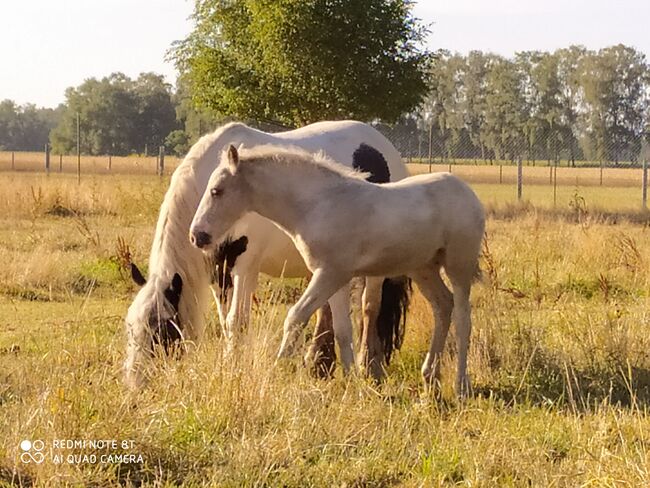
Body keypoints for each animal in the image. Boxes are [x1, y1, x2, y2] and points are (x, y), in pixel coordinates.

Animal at [123, 121, 410, 388]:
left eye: (160, 330)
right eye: (131, 329)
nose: (134, 383)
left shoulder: (244, 266)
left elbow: (236, 321)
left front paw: (233, 368)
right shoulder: (219, 270)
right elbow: (228, 322)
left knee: (369, 308)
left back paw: (369, 367)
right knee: (327, 312)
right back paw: (319, 365)